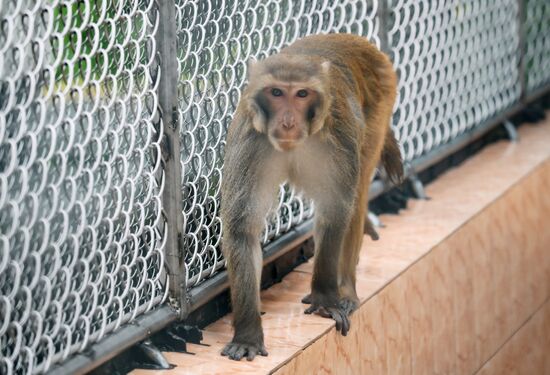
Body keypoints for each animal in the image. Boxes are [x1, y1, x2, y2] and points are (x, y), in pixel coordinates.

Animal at [221, 33, 406, 362]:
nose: (288, 122)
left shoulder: (338, 136)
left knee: (357, 192)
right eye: (276, 92)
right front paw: (247, 334)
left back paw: (345, 290)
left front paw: (325, 298)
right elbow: (243, 228)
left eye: (302, 94)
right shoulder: (249, 139)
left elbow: (336, 210)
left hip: (382, 95)